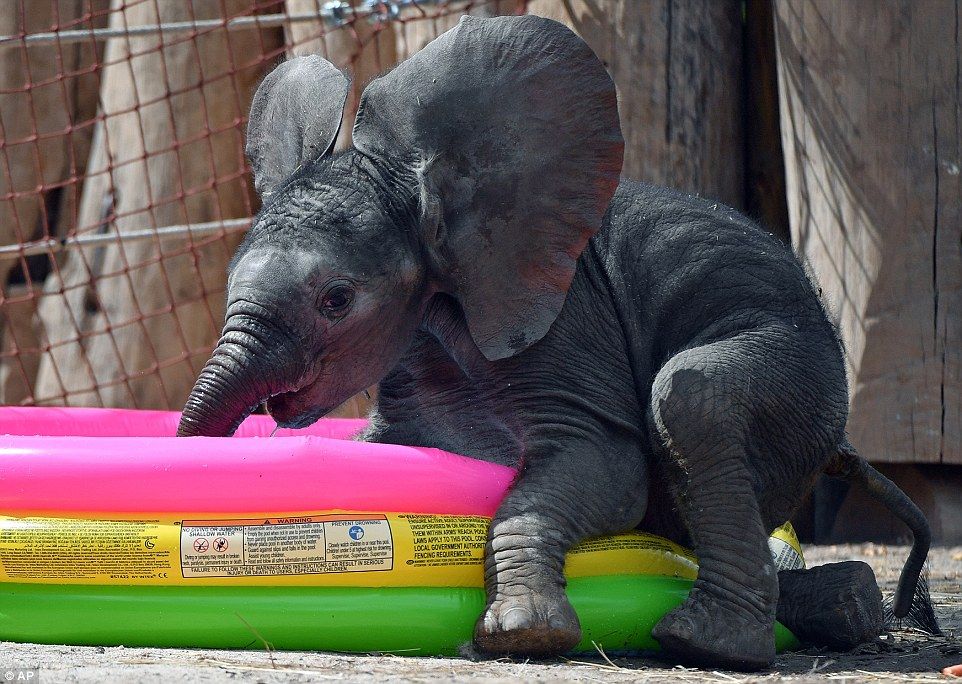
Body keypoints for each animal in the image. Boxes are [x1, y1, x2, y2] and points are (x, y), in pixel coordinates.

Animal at [177, 15, 934, 670]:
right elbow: (391, 443)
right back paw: (842, 605)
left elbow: (604, 463)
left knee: (692, 398)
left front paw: (521, 636)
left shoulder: (565, 321)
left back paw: (710, 643)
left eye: (335, 300)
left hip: (804, 372)